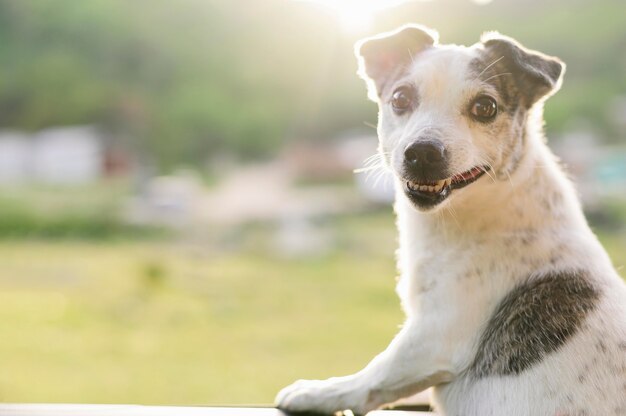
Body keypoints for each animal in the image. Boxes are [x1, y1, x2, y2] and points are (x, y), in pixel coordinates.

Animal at [274, 26, 624, 416]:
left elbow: (375, 373)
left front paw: (318, 391)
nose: (422, 153)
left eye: (485, 107)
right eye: (400, 98)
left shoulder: (433, 334)